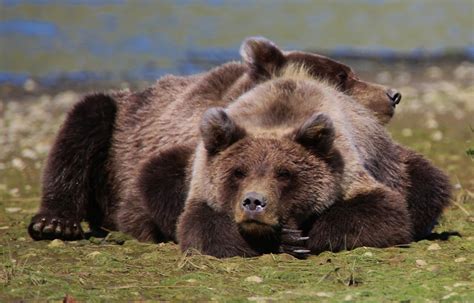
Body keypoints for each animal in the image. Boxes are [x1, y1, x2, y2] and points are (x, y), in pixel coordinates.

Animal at [27, 37, 450, 256]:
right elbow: (162, 187)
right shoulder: (182, 147)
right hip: (120, 124)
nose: (393, 94)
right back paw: (55, 222)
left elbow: (421, 183)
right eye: (344, 75)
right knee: (86, 117)